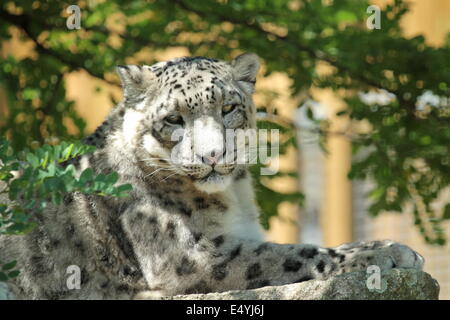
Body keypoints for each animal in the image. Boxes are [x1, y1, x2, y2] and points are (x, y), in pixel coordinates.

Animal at [0, 53, 424, 300]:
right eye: (173, 119)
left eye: (229, 108)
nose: (213, 154)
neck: (235, 198)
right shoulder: (196, 256)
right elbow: (292, 254)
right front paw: (386, 253)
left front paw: (386, 245)